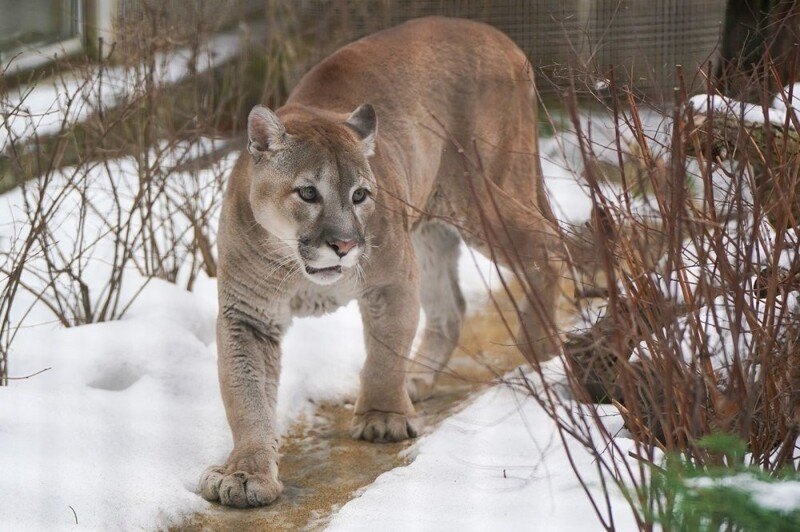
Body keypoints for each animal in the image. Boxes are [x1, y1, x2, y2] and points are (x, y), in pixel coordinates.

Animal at [198, 15, 564, 508]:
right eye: (308, 192)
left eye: (360, 195)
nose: (345, 244)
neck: (302, 274)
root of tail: (499, 36)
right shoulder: (247, 315)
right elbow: (246, 394)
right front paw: (245, 473)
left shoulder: (392, 281)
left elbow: (386, 352)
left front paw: (383, 417)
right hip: (430, 226)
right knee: (452, 309)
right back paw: (419, 379)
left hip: (485, 198)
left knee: (552, 245)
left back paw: (536, 344)